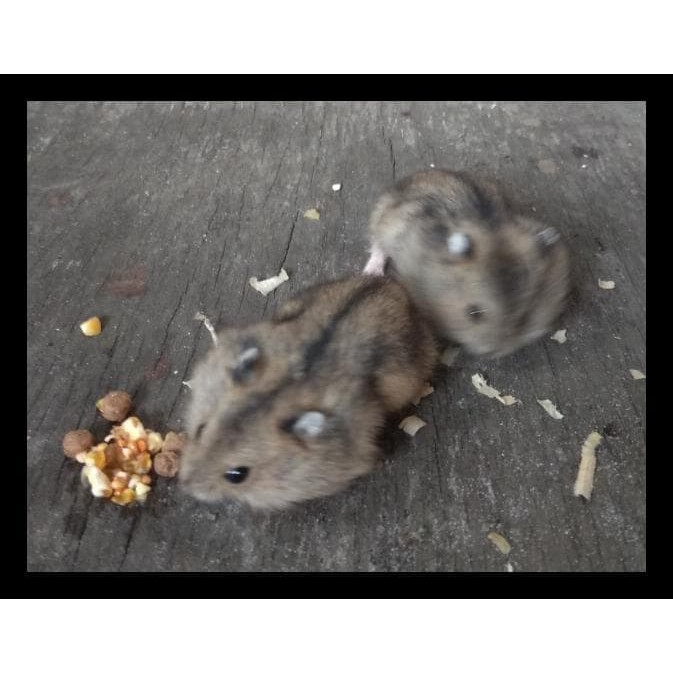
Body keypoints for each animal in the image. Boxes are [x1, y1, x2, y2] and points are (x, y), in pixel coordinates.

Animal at [363, 168, 571, 358]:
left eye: (523, 319)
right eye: (473, 313)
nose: (493, 353)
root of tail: (418, 174)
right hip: (382, 218)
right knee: (378, 245)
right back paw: (372, 272)